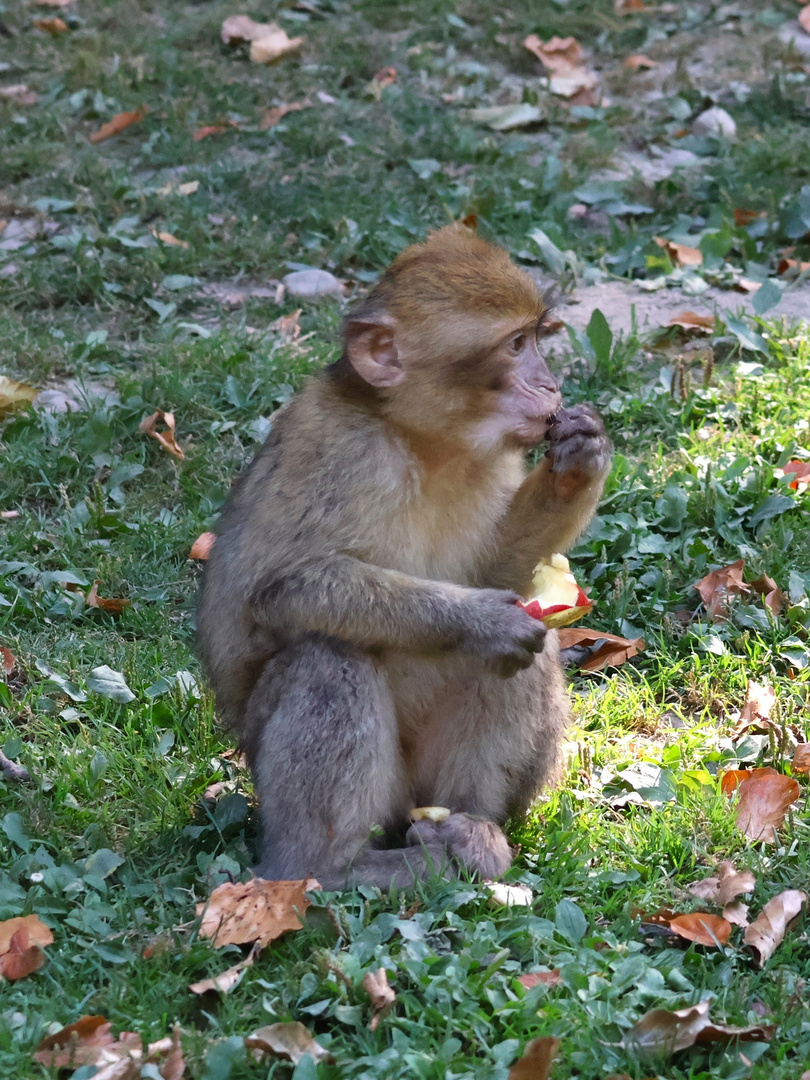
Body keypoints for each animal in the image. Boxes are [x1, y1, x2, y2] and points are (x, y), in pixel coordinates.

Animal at [196, 223, 613, 889]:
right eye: (515, 345)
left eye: (534, 342)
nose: (550, 385)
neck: (423, 444)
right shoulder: (340, 452)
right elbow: (282, 585)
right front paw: (481, 621)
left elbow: (498, 575)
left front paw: (579, 461)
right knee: (328, 656)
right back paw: (336, 867)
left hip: (423, 788)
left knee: (529, 652)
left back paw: (471, 830)